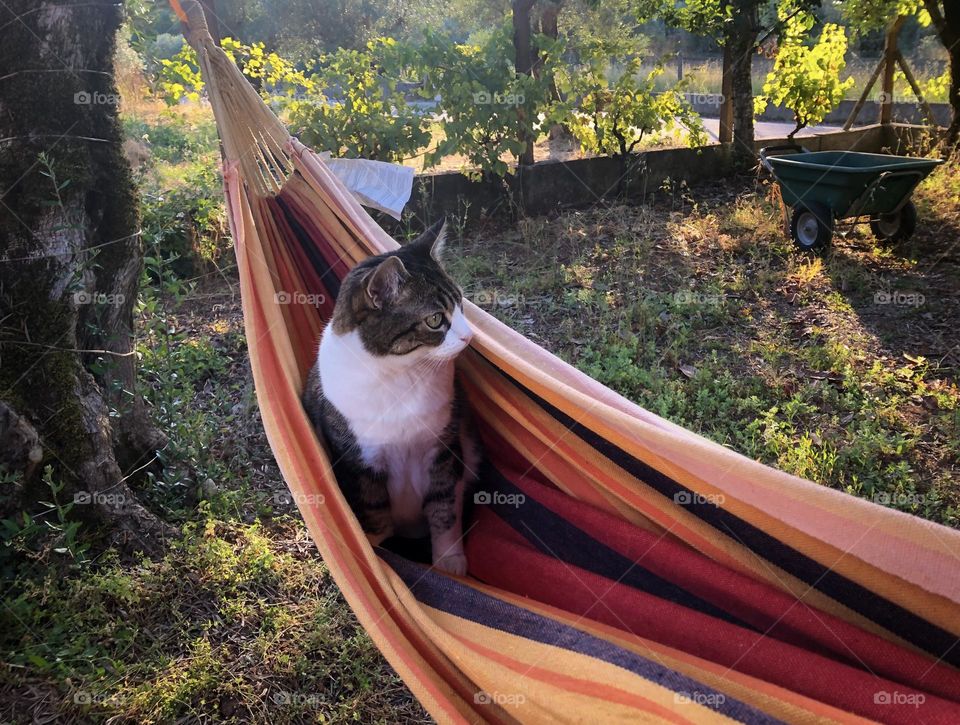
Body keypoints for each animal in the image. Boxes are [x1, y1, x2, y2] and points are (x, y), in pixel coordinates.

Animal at [302, 218, 478, 576]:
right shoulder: (360, 462)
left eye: (461, 304)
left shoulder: (443, 449)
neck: (402, 375)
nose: (470, 337)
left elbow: (444, 510)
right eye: (435, 319)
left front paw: (448, 561)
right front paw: (379, 556)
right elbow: (375, 515)